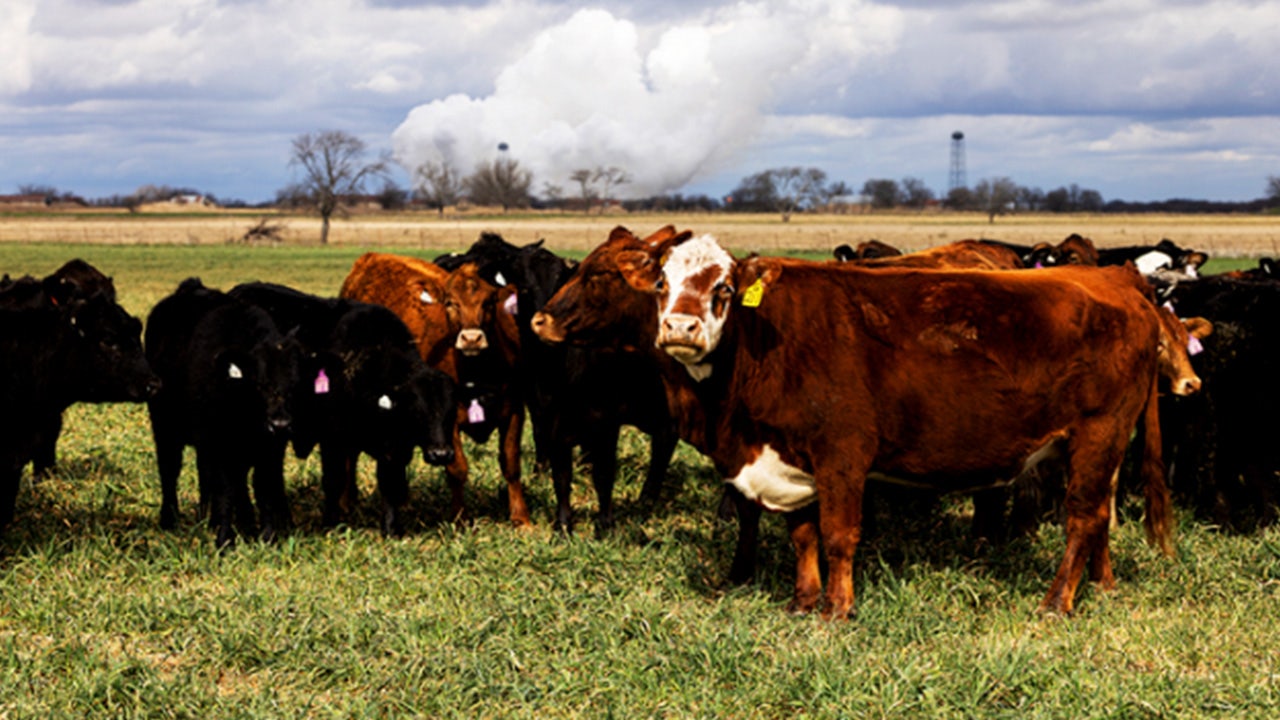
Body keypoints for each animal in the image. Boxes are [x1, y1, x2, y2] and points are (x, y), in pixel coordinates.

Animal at [145, 279, 302, 547]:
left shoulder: (271, 448)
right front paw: (225, 540)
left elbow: (264, 487)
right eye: (259, 384)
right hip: (165, 427)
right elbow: (225, 488)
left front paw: (266, 536)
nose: (279, 423)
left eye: (293, 384)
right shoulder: (217, 443)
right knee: (169, 470)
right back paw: (170, 520)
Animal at [228, 282, 459, 535]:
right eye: (417, 410)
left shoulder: (395, 448)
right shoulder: (333, 440)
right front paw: (330, 523)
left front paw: (391, 528)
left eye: (450, 412)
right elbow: (334, 482)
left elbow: (390, 484)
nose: (441, 454)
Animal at [340, 253, 531, 528]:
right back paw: (347, 501)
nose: (471, 338)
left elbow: (511, 465)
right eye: (451, 303)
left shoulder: (514, 410)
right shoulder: (446, 421)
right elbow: (457, 469)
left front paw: (521, 517)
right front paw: (460, 518)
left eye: (489, 302)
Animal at [540, 229, 1175, 619]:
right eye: (661, 285)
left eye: (723, 288)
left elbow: (839, 534)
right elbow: (802, 536)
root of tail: (1117, 279)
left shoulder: (842, 452)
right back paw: (1101, 585)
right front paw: (802, 602)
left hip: (1098, 435)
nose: (680, 329)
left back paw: (1057, 601)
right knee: (1099, 516)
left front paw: (837, 609)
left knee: (1082, 517)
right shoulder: (786, 456)